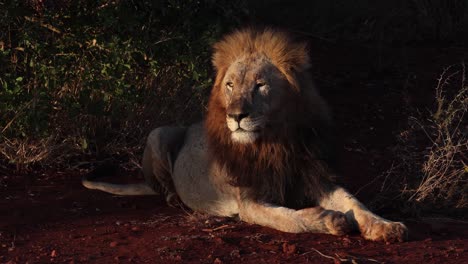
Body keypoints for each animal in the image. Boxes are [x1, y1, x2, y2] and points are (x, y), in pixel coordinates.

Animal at [82, 27, 408, 242]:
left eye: (260, 85)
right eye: (230, 85)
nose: (236, 116)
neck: (275, 143)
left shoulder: (315, 177)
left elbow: (354, 201)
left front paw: (386, 225)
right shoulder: (248, 201)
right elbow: (289, 219)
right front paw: (327, 219)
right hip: (158, 133)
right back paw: (176, 198)